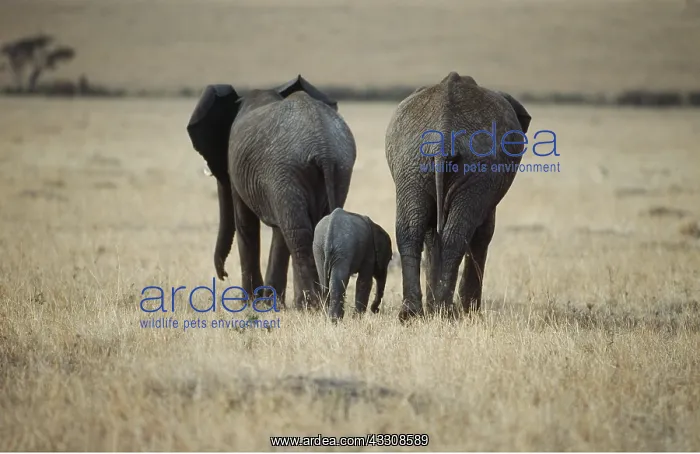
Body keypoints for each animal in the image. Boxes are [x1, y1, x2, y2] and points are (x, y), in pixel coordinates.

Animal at [186, 75, 357, 309]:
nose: (223, 275)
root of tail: (323, 148)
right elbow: (277, 232)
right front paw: (269, 303)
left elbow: (245, 224)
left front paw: (251, 303)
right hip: (337, 168)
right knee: (308, 228)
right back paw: (315, 303)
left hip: (288, 169)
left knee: (296, 233)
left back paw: (311, 306)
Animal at [385, 71, 532, 320]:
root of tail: (444, 133)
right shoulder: (486, 183)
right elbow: (484, 232)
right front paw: (470, 312)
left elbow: (431, 233)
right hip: (475, 170)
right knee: (457, 233)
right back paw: (446, 311)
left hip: (411, 164)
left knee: (410, 229)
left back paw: (413, 314)